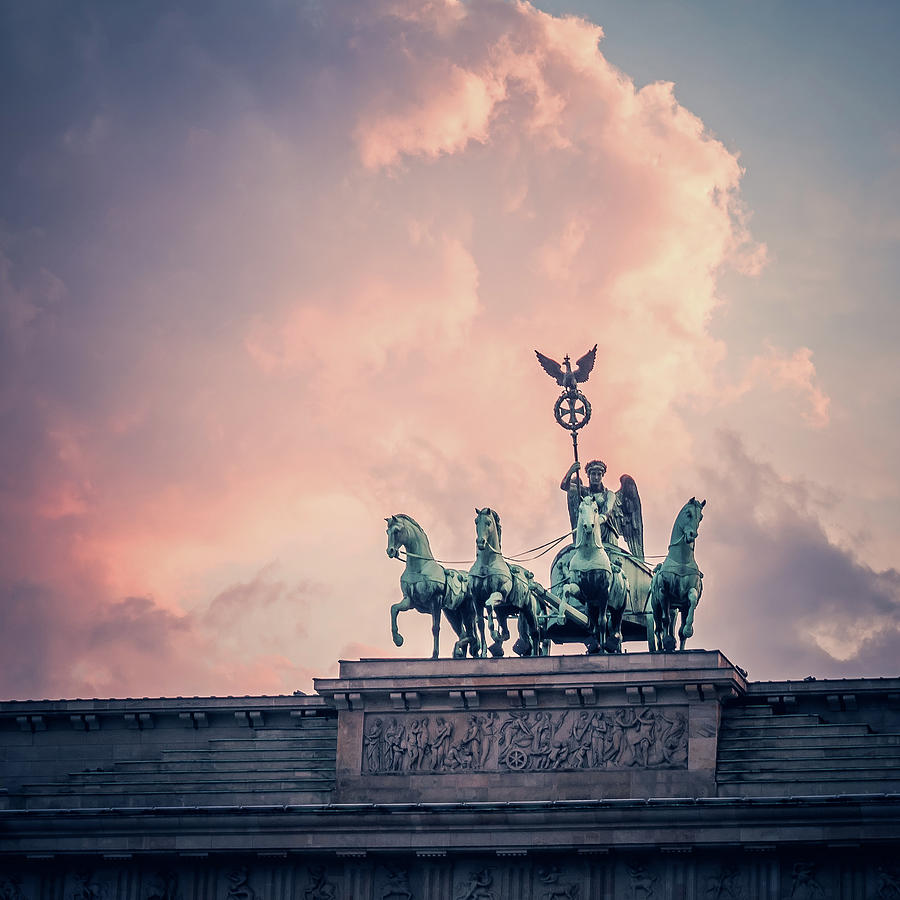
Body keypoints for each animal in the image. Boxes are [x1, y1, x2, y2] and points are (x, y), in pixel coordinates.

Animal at [386, 516, 486, 656]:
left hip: (468, 610)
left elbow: (435, 628)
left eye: (396, 531)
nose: (390, 551)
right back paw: (459, 652)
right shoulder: (409, 601)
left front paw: (434, 655)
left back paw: (458, 650)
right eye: (387, 532)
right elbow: (394, 609)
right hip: (452, 613)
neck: (420, 568)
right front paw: (398, 639)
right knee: (465, 635)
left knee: (471, 636)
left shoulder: (436, 600)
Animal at [468, 510, 544, 656]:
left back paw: (535, 654)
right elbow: (480, 623)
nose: (480, 541)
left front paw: (494, 634)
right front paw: (484, 652)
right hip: (503, 613)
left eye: (488, 522)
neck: (486, 564)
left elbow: (489, 605)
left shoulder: (500, 594)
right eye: (476, 521)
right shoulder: (476, 599)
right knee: (508, 633)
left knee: (535, 632)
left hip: (529, 610)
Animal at [652, 496, 708, 652]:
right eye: (688, 513)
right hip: (656, 606)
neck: (681, 561)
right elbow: (665, 621)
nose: (692, 535)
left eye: (701, 517)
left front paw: (688, 630)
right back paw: (661, 645)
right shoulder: (663, 592)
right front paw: (667, 641)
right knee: (658, 628)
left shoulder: (687, 599)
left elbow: (692, 601)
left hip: (678, 607)